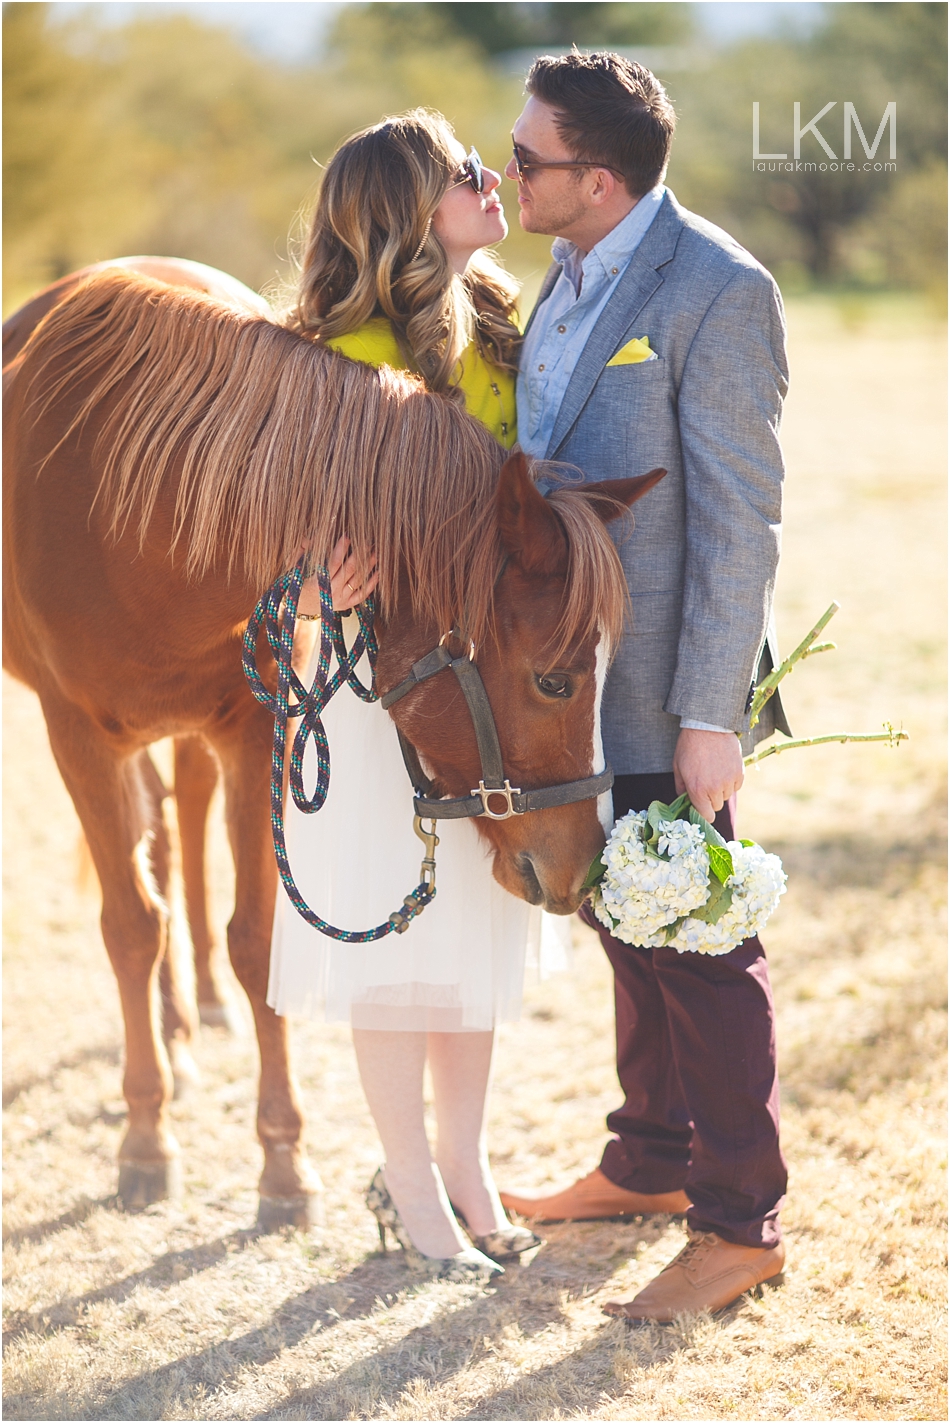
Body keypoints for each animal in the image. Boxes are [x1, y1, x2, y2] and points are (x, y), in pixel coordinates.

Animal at [3, 261, 665, 1229]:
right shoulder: (77, 737)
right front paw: (147, 1142)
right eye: (556, 680)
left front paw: (281, 1159)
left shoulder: (260, 728)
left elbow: (253, 938)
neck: (131, 513)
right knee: (154, 862)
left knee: (179, 826)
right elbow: (129, 926)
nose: (585, 862)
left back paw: (194, 1016)